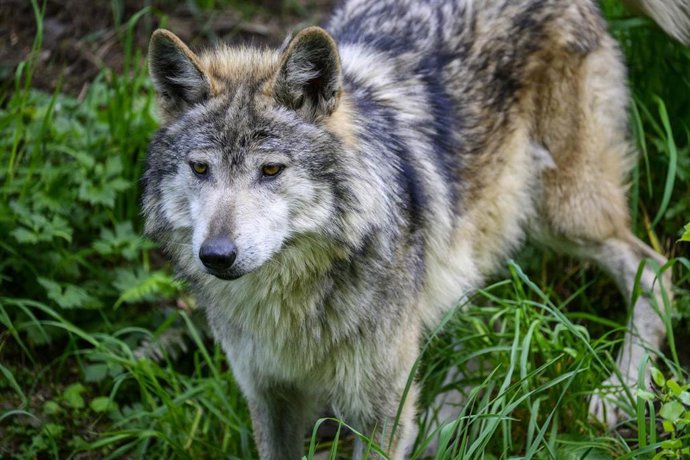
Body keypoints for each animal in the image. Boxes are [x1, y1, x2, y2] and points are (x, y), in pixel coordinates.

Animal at [142, 0, 686, 458]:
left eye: (271, 170)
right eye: (200, 169)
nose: (216, 254)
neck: (292, 306)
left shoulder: (378, 409)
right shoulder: (268, 397)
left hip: (562, 214)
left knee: (653, 269)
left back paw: (620, 391)